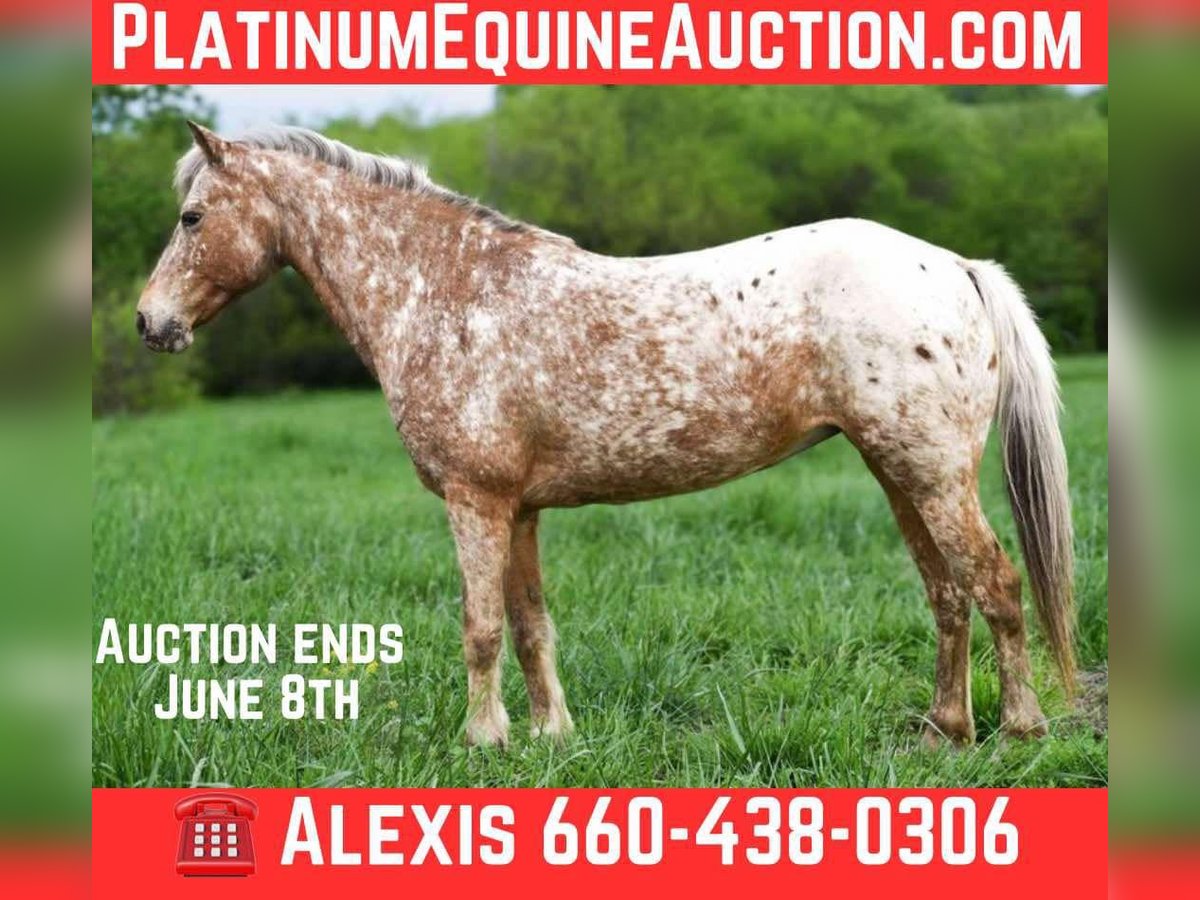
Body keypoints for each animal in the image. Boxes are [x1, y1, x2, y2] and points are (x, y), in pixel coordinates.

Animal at [137, 122, 1074, 748]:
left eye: (191, 218)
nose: (151, 323)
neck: (445, 291)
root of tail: (955, 266)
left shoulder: (475, 502)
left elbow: (480, 626)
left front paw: (482, 740)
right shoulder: (517, 509)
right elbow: (529, 625)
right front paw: (549, 736)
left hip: (932, 475)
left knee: (996, 583)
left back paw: (1021, 727)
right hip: (897, 472)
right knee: (947, 592)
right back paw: (945, 729)